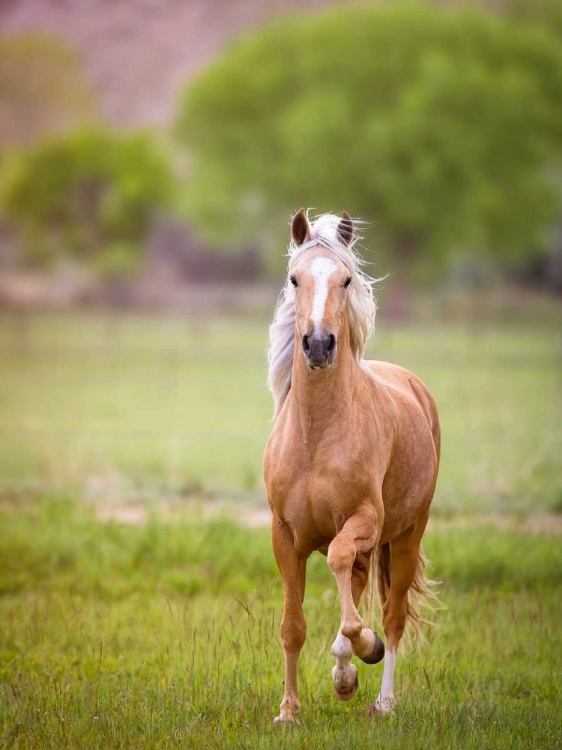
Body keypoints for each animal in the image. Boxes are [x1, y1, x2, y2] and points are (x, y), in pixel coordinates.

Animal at [262, 210, 438, 724]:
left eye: (346, 279)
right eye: (294, 278)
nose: (319, 345)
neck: (317, 438)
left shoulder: (365, 521)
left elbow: (341, 567)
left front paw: (366, 645)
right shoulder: (284, 535)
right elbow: (293, 626)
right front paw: (288, 710)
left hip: (407, 535)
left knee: (393, 615)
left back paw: (383, 699)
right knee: (356, 591)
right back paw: (345, 678)